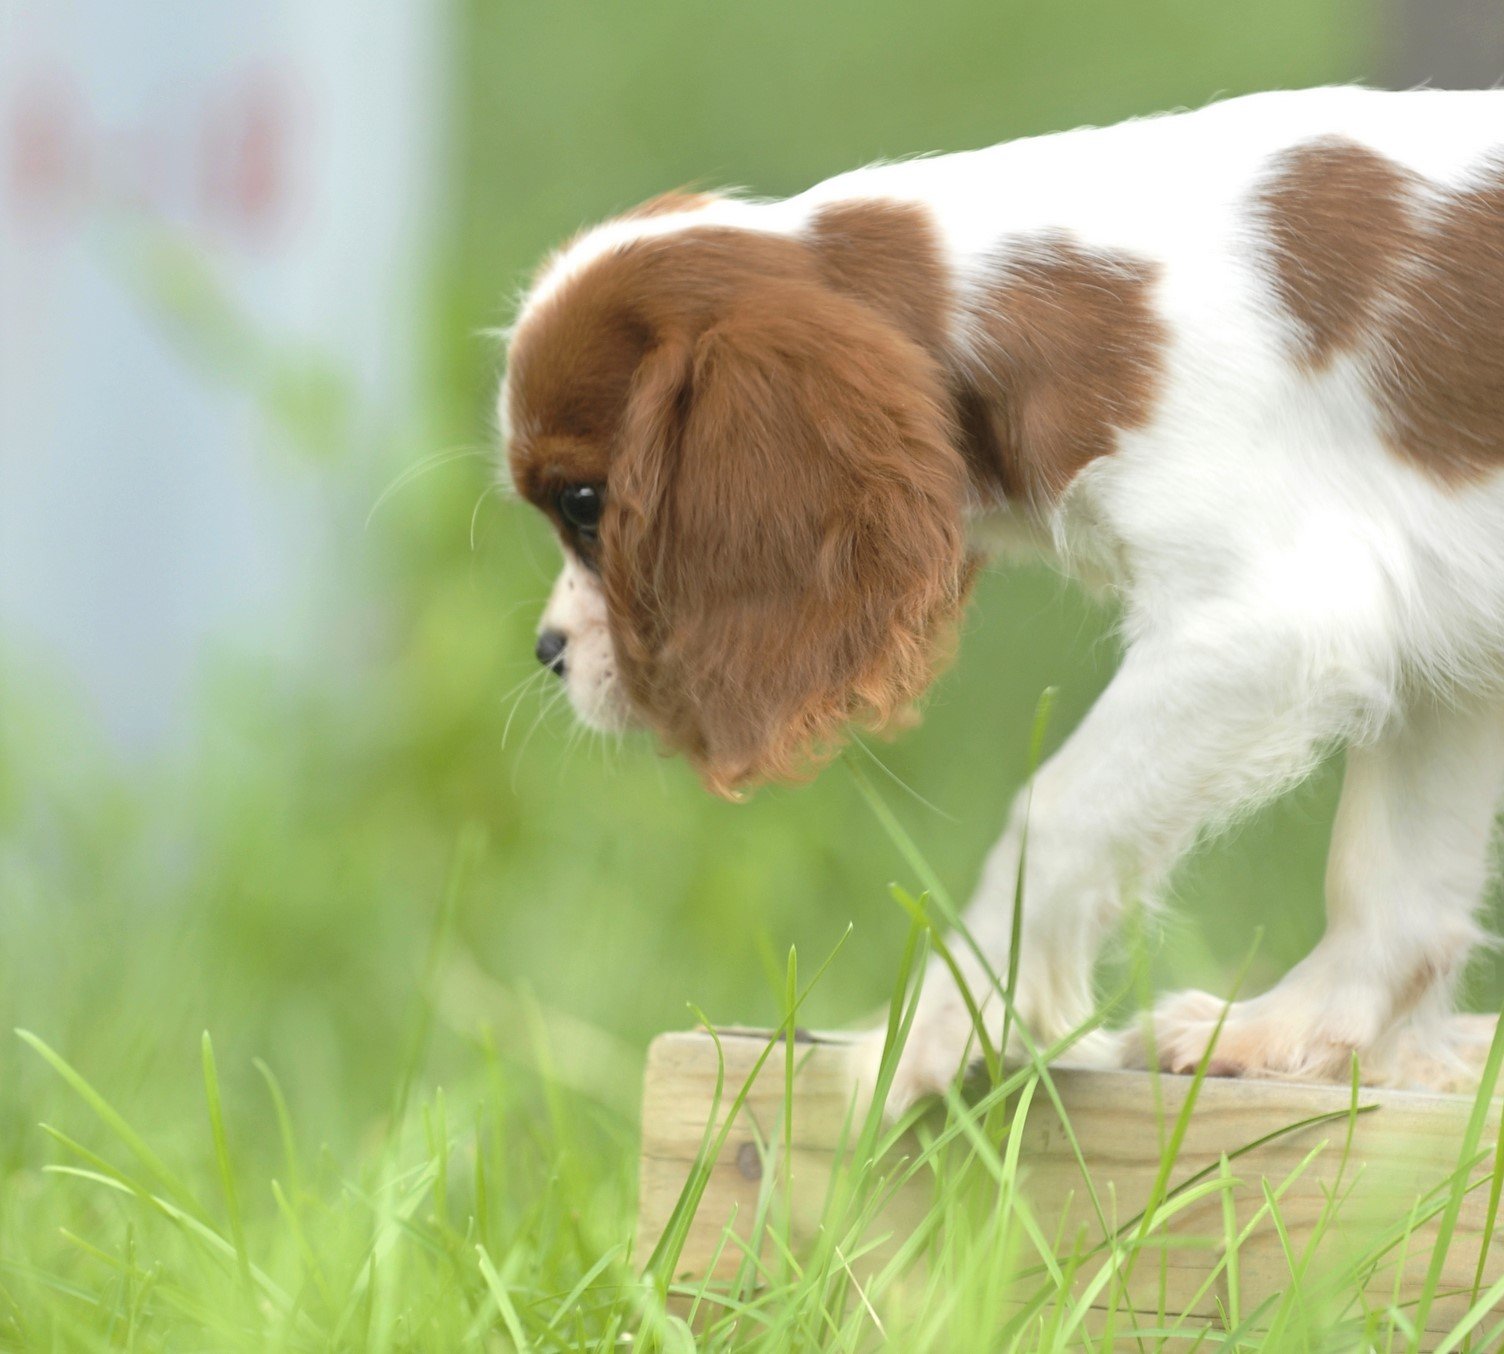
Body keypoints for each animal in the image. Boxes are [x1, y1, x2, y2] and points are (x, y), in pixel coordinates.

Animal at [499, 89, 1504, 1113]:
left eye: (584, 506)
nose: (548, 651)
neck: (1100, 307)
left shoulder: (1268, 620)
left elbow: (1055, 816)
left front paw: (939, 1026)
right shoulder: (1444, 627)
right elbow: (1394, 876)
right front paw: (1297, 1031)